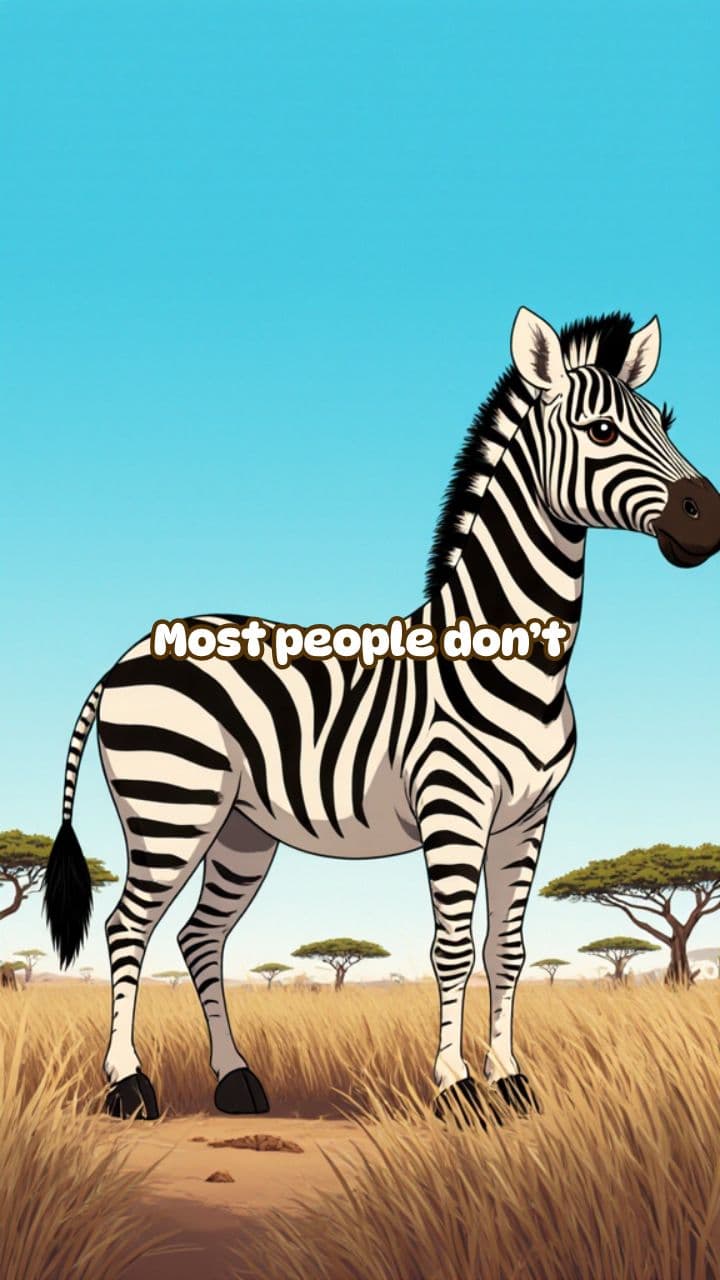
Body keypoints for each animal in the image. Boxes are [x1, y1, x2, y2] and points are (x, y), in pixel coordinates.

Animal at [44, 307, 720, 1126]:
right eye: (599, 430)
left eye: (665, 421)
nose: (710, 518)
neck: (510, 652)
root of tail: (127, 655)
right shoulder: (454, 806)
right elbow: (453, 949)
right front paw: (457, 1090)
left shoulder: (529, 816)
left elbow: (509, 949)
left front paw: (510, 1081)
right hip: (171, 805)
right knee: (126, 929)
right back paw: (127, 1086)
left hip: (241, 829)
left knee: (200, 937)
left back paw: (235, 1080)